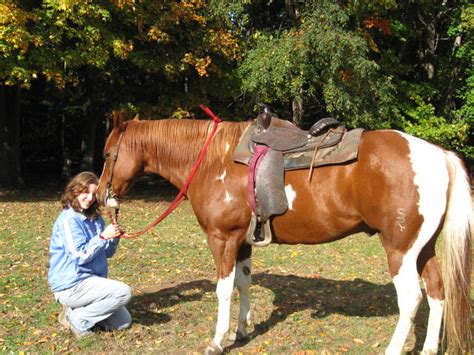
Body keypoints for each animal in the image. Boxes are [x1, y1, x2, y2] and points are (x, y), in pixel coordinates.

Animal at [96, 110, 470, 354]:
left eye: (108, 154)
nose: (101, 195)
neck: (214, 161)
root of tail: (439, 155)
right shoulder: (243, 241)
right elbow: (243, 283)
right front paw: (241, 330)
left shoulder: (222, 239)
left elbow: (223, 290)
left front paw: (217, 340)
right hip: (424, 249)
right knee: (437, 293)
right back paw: (429, 348)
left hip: (400, 249)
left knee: (411, 299)